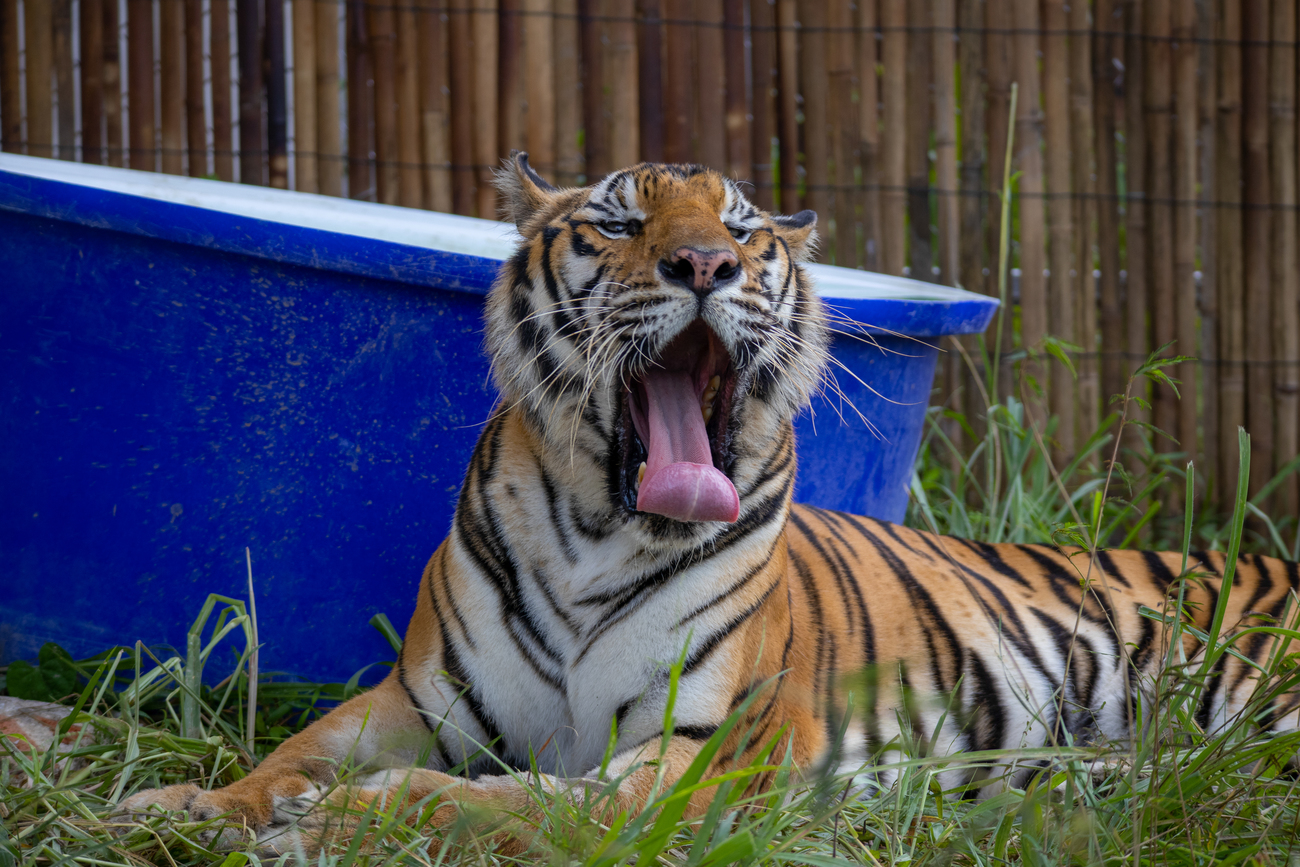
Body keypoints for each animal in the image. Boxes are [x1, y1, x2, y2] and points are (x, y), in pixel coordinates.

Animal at [116, 154, 1300, 852]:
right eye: (616, 222)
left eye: (746, 232)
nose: (703, 264)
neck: (596, 530)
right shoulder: (421, 700)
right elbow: (293, 752)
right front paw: (188, 806)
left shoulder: (712, 741)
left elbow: (532, 800)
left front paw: (359, 816)